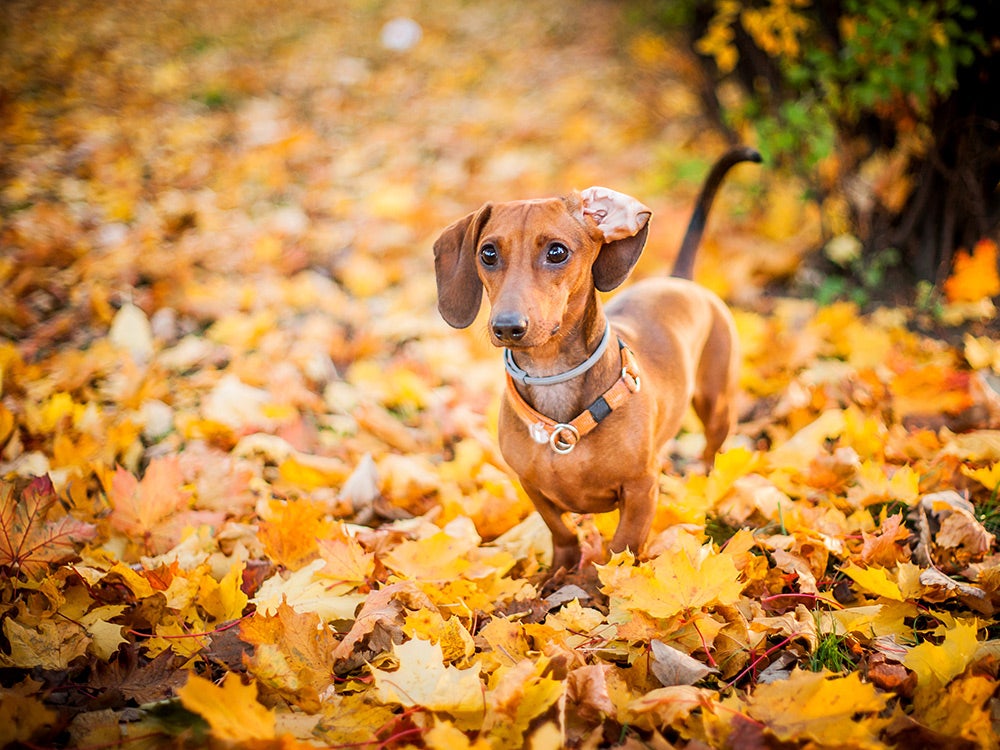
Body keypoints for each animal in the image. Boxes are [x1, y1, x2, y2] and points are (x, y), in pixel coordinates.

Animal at [434, 145, 760, 568]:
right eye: (488, 253)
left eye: (557, 251)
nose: (507, 327)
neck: (553, 378)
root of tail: (678, 282)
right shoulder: (531, 486)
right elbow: (561, 532)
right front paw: (560, 571)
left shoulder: (640, 489)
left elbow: (622, 548)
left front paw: (606, 582)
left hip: (716, 405)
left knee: (711, 453)